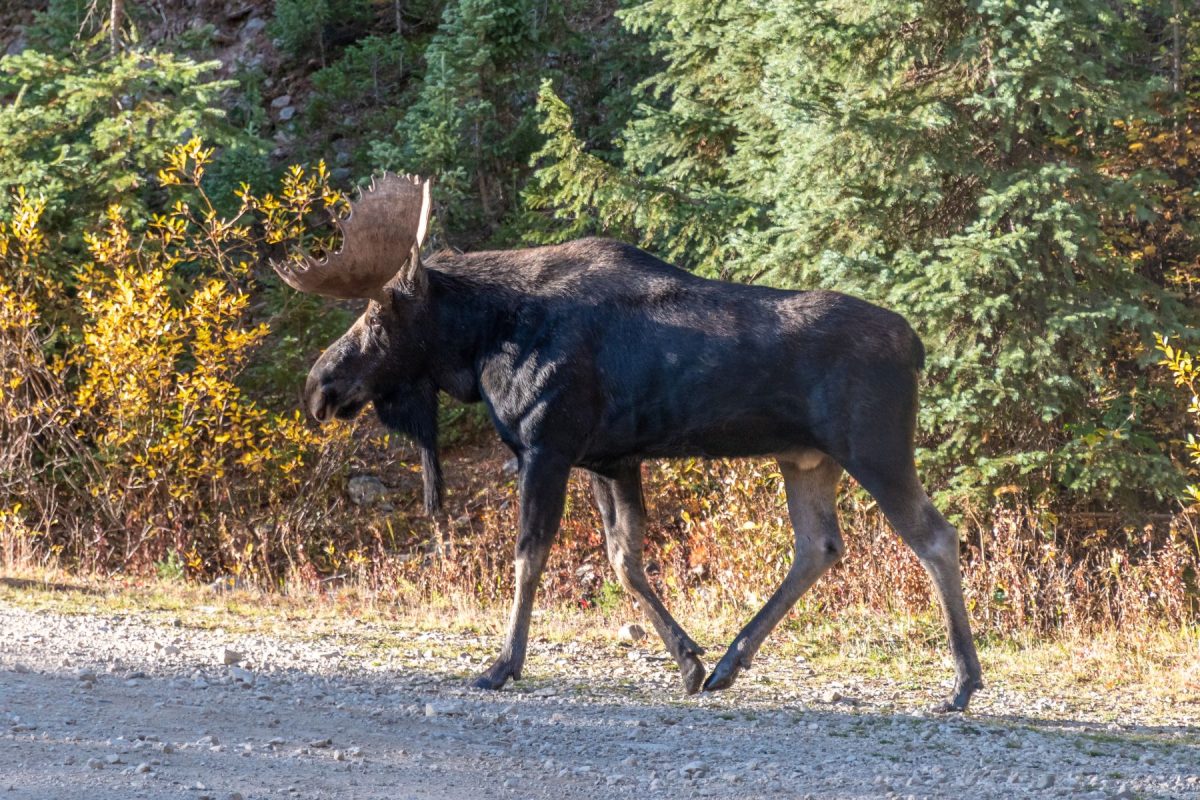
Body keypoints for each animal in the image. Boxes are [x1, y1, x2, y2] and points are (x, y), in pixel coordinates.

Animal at [275, 173, 984, 712]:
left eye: (376, 316)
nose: (317, 386)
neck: (480, 344)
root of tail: (916, 347)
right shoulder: (611, 458)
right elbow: (624, 559)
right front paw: (688, 660)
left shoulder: (547, 446)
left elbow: (529, 557)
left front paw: (503, 665)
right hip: (806, 457)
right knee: (818, 546)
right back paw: (729, 662)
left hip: (875, 447)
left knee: (934, 536)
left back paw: (962, 683)